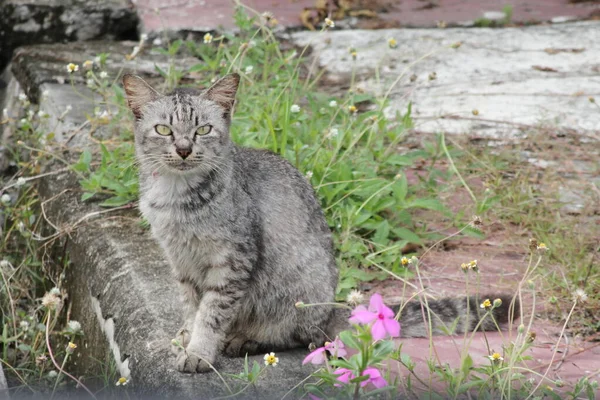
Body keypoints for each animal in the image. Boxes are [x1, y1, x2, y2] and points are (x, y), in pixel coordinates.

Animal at [122, 72, 516, 376]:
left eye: (203, 129)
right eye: (163, 129)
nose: (184, 149)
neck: (176, 198)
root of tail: (331, 306)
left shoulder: (233, 259)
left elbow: (212, 313)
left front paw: (200, 350)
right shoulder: (181, 262)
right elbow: (193, 308)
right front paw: (187, 337)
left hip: (298, 291)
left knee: (301, 335)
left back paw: (246, 339)